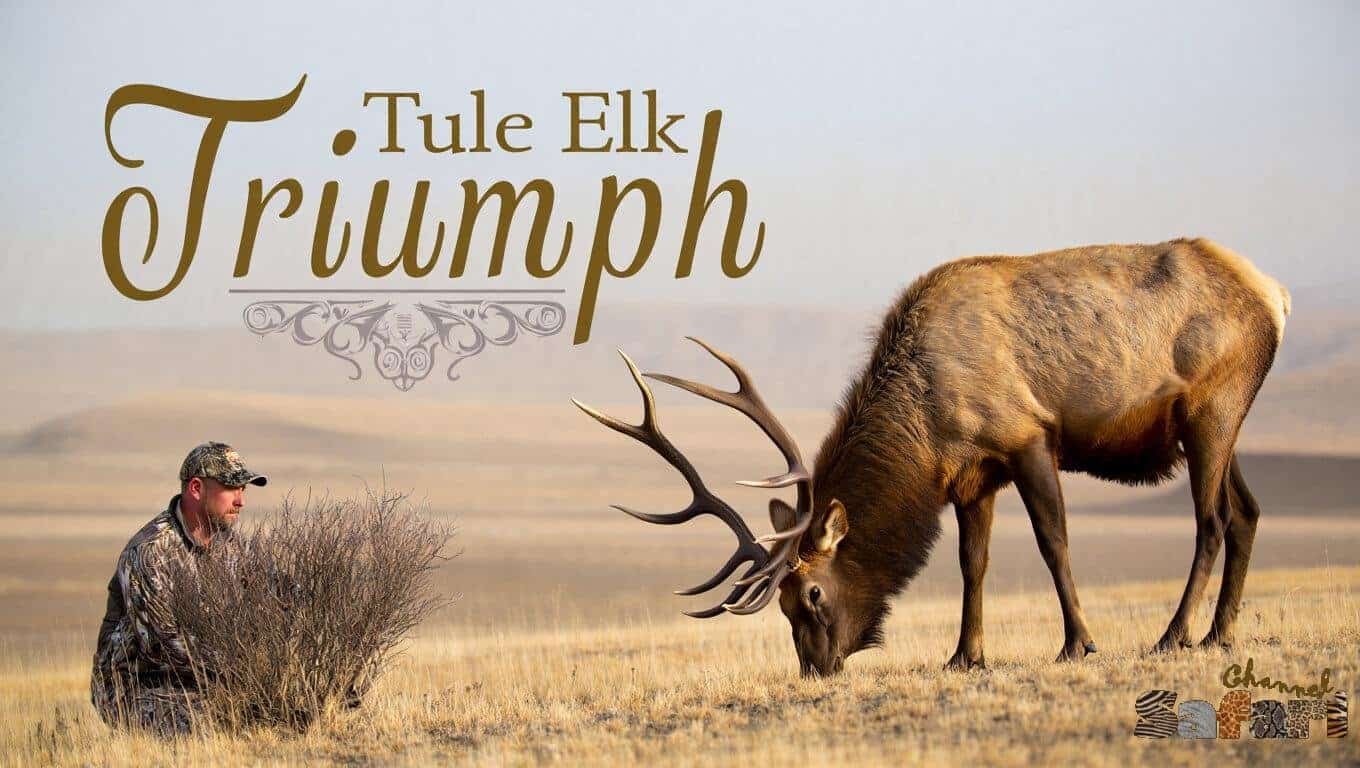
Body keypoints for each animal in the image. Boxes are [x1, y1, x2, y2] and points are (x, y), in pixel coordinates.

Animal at [573, 237, 1290, 677]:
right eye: (780, 606)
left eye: (811, 593)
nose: (815, 668)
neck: (927, 424)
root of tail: (1274, 295)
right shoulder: (973, 476)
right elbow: (973, 563)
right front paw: (965, 655)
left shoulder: (1026, 436)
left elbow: (1053, 542)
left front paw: (1078, 643)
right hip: (1212, 426)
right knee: (1248, 512)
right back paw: (1220, 633)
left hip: (1212, 407)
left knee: (1211, 520)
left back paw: (1174, 634)